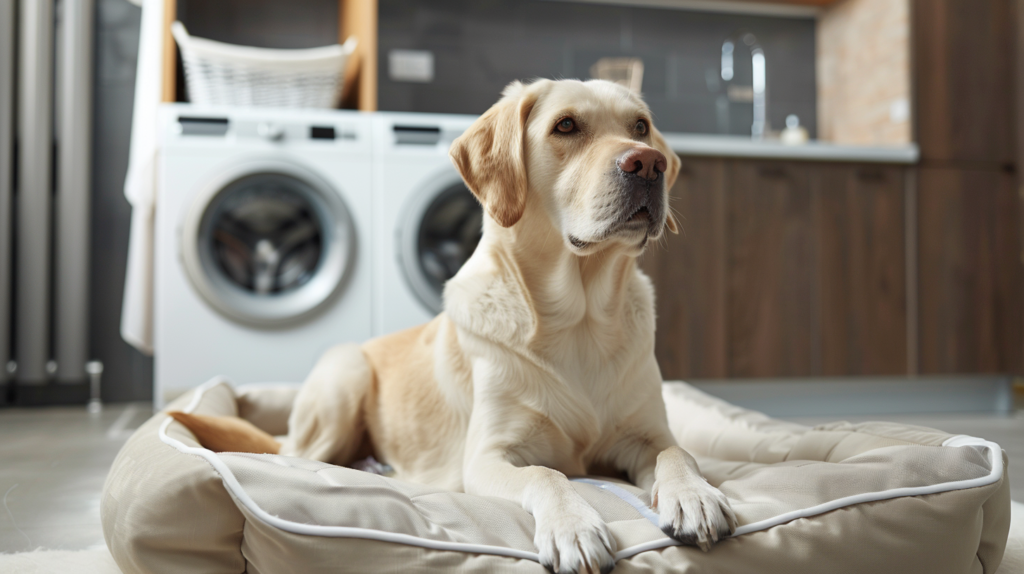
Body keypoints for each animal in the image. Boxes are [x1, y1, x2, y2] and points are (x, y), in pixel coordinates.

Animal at [176, 79, 737, 572]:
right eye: (566, 126)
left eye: (640, 127)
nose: (649, 162)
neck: (580, 320)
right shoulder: (489, 456)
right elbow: (547, 475)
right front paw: (573, 528)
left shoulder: (648, 434)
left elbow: (680, 453)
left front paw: (695, 497)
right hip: (343, 377)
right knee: (296, 456)